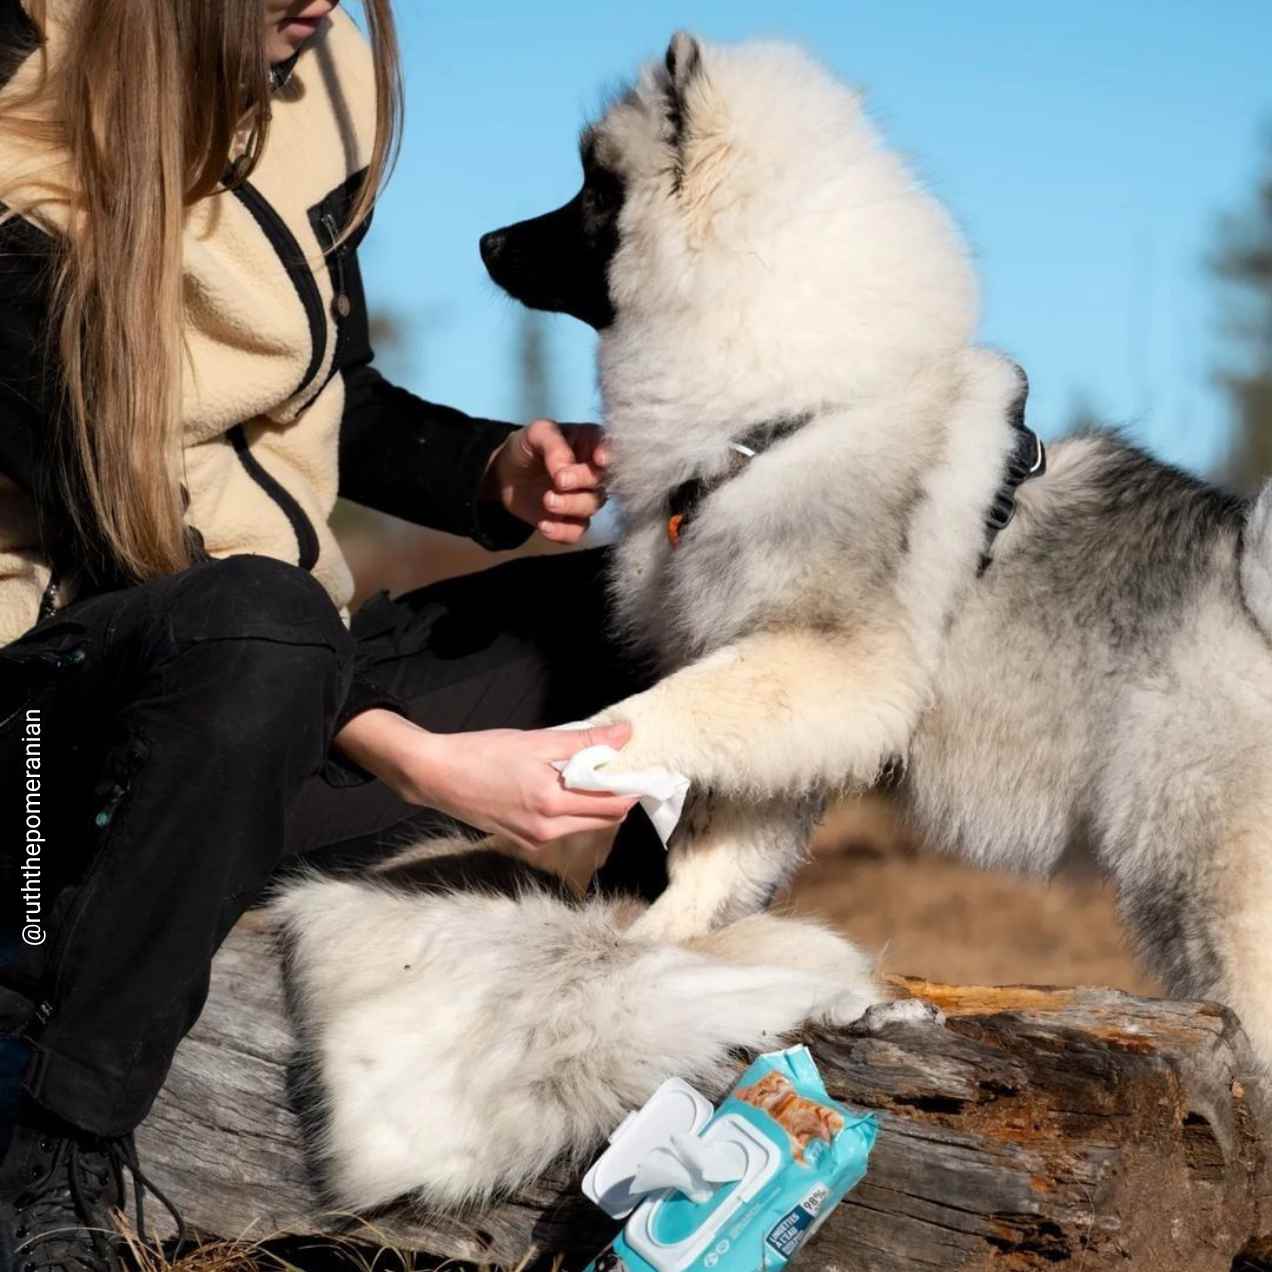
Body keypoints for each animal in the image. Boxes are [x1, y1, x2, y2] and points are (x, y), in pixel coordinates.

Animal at [273, 32, 1272, 1210]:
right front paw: (649, 944)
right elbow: (713, 858)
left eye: (596, 192)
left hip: (1206, 881)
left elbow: (660, 717)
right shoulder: (785, 720)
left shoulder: (817, 666)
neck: (787, 413)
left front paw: (578, 759)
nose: (485, 239)